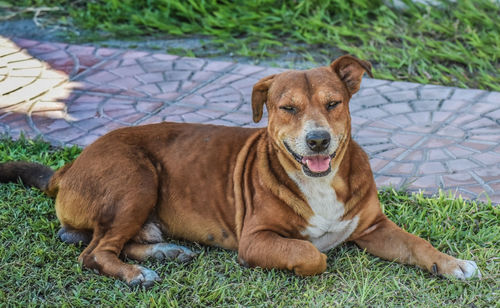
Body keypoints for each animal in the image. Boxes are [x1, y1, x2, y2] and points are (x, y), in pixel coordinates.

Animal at [0, 54, 480, 286]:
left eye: (333, 103)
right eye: (287, 108)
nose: (318, 140)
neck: (320, 181)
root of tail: (70, 165)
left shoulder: (375, 227)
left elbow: (417, 244)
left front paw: (452, 264)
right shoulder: (256, 239)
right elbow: (313, 255)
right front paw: (307, 259)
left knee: (109, 242)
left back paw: (164, 252)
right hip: (136, 181)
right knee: (94, 252)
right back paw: (137, 275)